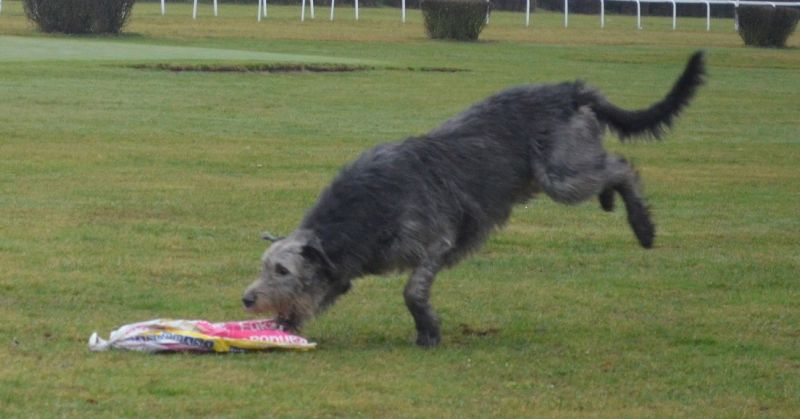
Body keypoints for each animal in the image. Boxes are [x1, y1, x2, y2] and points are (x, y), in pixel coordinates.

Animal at [241, 51, 704, 348]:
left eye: (282, 270)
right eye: (262, 266)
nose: (247, 299)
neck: (369, 208)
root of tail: (567, 90)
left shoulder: (434, 242)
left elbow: (413, 292)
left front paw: (428, 332)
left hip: (561, 177)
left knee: (622, 166)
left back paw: (642, 225)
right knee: (610, 166)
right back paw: (610, 202)